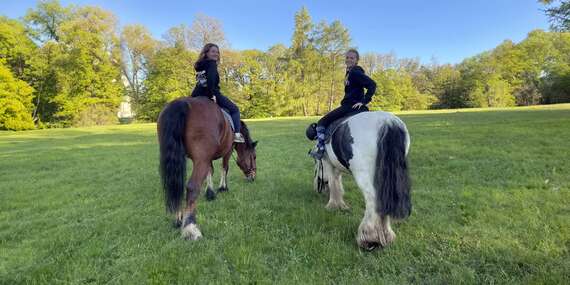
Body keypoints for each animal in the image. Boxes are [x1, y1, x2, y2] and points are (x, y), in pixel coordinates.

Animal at [156, 96, 256, 240]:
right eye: (254, 157)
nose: (253, 176)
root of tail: (181, 102)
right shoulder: (227, 151)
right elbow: (224, 168)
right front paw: (223, 187)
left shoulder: (207, 158)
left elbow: (210, 171)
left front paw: (210, 192)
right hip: (201, 159)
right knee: (192, 187)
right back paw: (190, 228)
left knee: (177, 185)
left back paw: (179, 219)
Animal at [306, 111, 408, 248]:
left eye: (315, 162)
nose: (318, 187)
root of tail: (387, 122)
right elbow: (338, 183)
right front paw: (341, 205)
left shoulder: (328, 164)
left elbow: (333, 183)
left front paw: (333, 205)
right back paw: (386, 236)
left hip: (364, 175)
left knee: (373, 200)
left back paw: (369, 238)